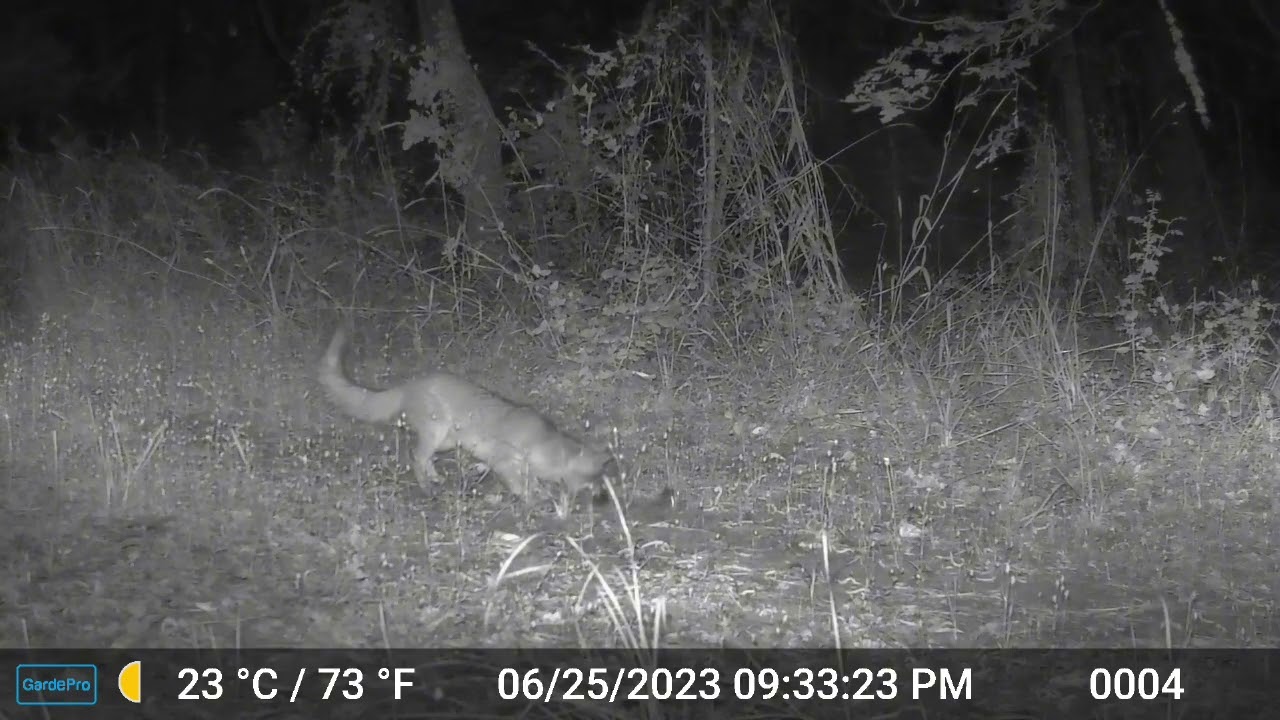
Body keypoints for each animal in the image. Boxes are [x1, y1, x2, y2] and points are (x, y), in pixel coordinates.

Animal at [317, 326, 614, 504]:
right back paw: (426, 486)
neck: (545, 443)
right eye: (597, 482)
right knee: (416, 457)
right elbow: (521, 484)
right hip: (436, 431)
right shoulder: (505, 460)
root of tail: (411, 384)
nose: (605, 499)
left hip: (447, 440)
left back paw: (435, 476)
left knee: (425, 457)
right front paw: (532, 499)